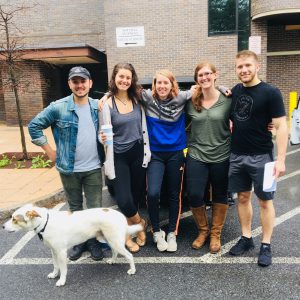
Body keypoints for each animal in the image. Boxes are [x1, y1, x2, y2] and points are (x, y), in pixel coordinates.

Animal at [2, 205, 142, 288]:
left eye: (14, 219)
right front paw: (54, 274)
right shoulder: (53, 251)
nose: (2, 226)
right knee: (114, 252)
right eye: (11, 217)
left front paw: (62, 281)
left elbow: (63, 269)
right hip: (109, 239)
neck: (44, 222)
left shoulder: (61, 252)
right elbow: (55, 266)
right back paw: (112, 260)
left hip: (114, 241)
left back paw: (132, 270)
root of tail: (121, 216)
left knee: (129, 256)